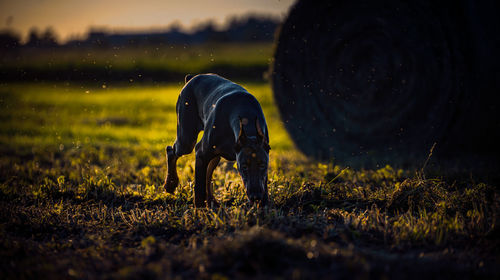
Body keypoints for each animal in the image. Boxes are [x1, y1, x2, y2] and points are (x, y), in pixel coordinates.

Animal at [164, 73, 270, 207]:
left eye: (263, 165)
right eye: (244, 166)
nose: (256, 197)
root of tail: (192, 78)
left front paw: (264, 204)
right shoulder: (201, 153)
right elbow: (199, 188)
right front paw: (199, 208)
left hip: (214, 154)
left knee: (208, 172)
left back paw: (211, 201)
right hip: (186, 139)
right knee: (171, 151)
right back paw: (170, 184)